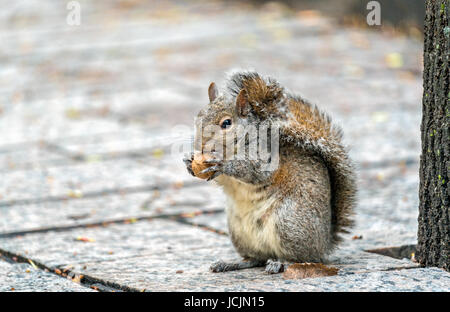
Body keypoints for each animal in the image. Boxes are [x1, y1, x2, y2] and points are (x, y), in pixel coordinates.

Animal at [183, 70, 356, 272]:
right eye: (199, 116)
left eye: (226, 123)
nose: (199, 146)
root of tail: (325, 243)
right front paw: (189, 161)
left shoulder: (266, 157)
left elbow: (254, 171)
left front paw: (222, 164)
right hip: (238, 231)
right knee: (255, 259)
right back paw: (230, 263)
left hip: (289, 223)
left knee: (303, 257)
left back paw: (281, 263)